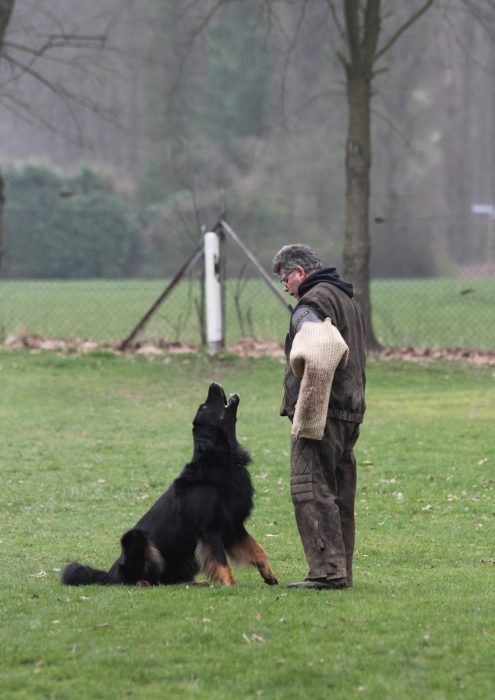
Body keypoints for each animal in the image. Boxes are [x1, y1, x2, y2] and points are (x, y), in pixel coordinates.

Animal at [61, 380, 278, 588]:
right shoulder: (210, 529)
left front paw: (268, 574)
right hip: (134, 538)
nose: (213, 384)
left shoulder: (233, 525)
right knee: (136, 580)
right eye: (204, 406)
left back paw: (198, 583)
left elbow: (258, 549)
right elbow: (221, 561)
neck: (221, 461)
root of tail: (110, 575)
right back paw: (143, 583)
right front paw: (230, 586)